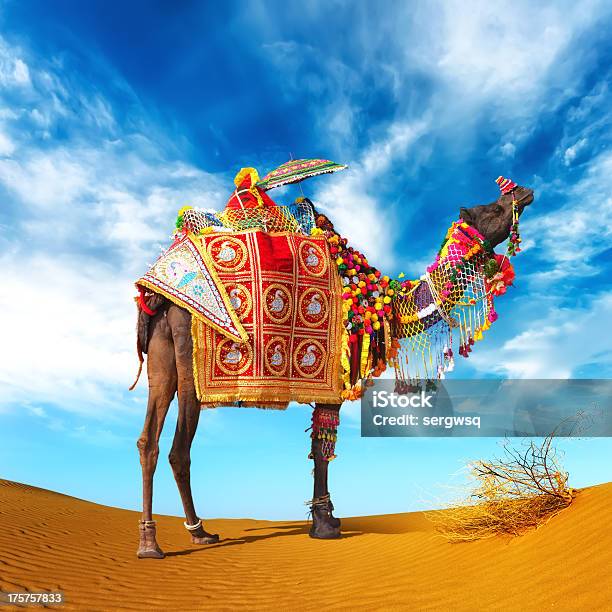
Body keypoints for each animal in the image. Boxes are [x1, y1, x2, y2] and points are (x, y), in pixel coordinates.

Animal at [131, 164, 532, 560]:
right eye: (491, 208)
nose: (522, 190)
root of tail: (157, 291)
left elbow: (317, 448)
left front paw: (326, 518)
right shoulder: (334, 381)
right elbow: (323, 449)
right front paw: (325, 525)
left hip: (161, 358)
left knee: (148, 440)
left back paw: (163, 539)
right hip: (191, 365)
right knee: (179, 449)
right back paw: (182, 538)